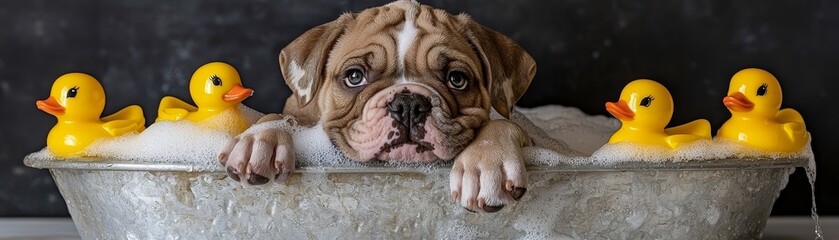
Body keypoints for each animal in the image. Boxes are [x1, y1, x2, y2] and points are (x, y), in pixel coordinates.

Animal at [220, 0, 540, 214]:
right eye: (354, 76)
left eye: (457, 79)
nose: (408, 104)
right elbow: (280, 117)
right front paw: (261, 139)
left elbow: (501, 122)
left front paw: (487, 163)